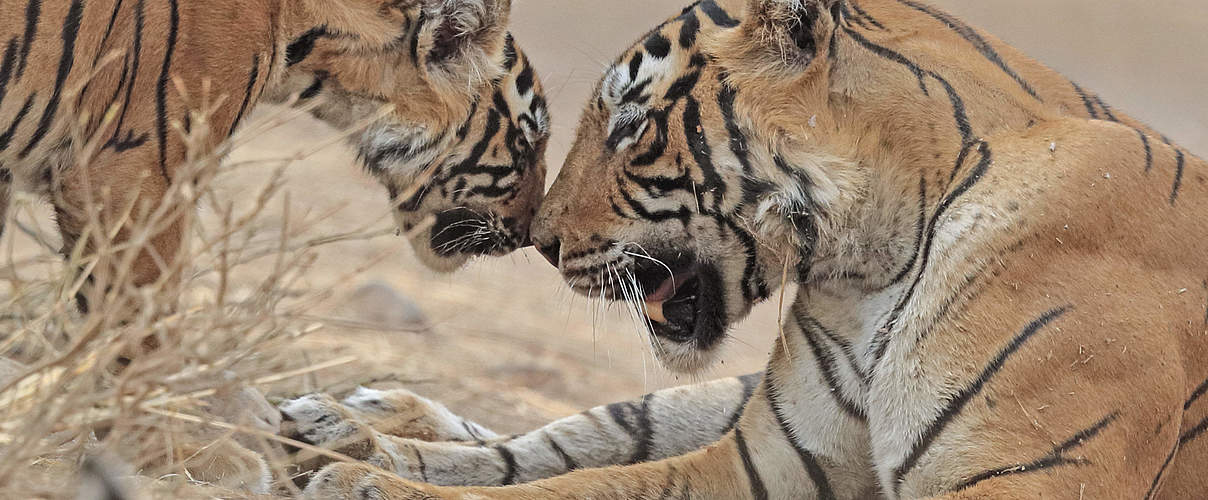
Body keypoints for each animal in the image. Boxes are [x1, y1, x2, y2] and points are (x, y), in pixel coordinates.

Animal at [289, 0, 1208, 500]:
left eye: (630, 126)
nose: (540, 243)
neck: (872, 265)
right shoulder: (768, 463)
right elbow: (573, 473)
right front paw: (364, 466)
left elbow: (570, 488)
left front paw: (364, 481)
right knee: (582, 432)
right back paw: (342, 423)